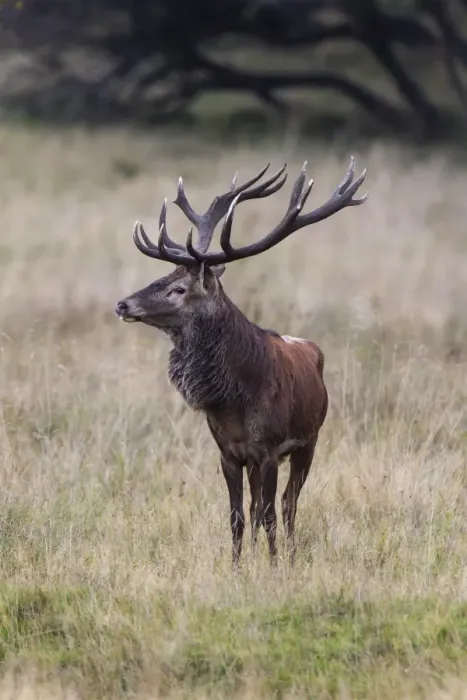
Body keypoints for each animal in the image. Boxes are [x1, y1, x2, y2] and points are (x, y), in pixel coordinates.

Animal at [115, 157, 367, 566]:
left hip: (309, 442)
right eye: (163, 276)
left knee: (288, 504)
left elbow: (270, 513)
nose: (123, 304)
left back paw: (290, 555)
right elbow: (237, 515)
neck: (235, 400)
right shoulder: (229, 452)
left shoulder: (269, 448)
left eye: (178, 289)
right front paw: (235, 567)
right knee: (257, 506)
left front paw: (274, 565)